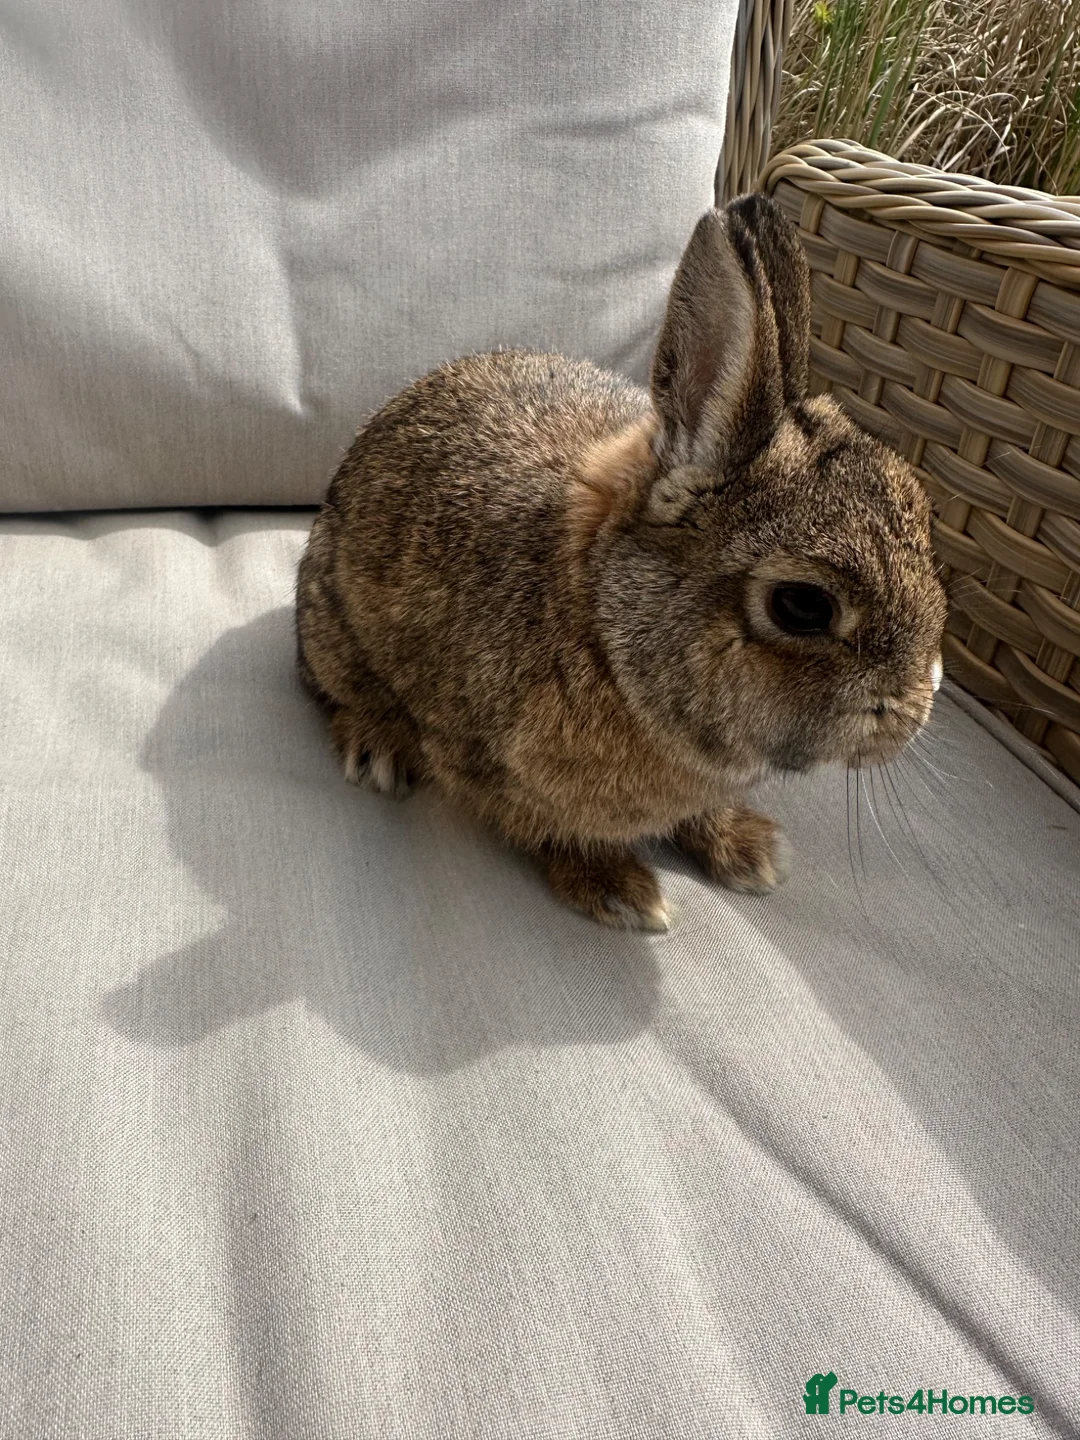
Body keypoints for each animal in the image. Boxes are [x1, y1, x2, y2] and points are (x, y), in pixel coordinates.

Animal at [296, 193, 947, 931]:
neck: (608, 634)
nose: (915, 710)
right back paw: (376, 747)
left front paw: (750, 852)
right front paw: (620, 891)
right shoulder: (486, 763)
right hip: (332, 625)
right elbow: (549, 831)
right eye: (802, 606)